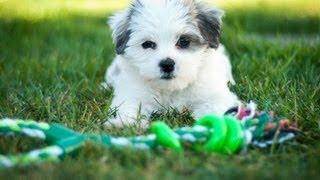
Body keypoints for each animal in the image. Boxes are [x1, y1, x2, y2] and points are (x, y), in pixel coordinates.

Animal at [104, 0, 239, 128]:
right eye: (147, 44)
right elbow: (130, 106)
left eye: (184, 41)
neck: (171, 89)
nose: (167, 64)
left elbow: (217, 106)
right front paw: (125, 123)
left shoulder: (213, 94)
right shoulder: (133, 93)